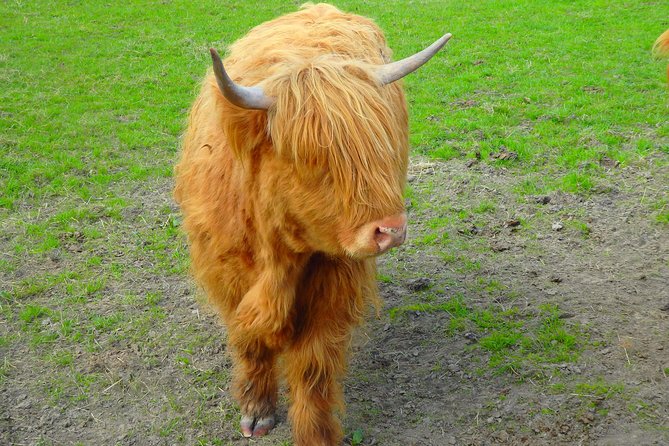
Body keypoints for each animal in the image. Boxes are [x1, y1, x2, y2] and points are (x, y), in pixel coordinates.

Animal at [175, 3, 452, 446]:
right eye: (311, 158)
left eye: (383, 146)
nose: (390, 229)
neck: (279, 256)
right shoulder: (226, 274)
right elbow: (248, 340)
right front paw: (256, 410)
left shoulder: (334, 279)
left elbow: (313, 363)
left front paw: (315, 433)